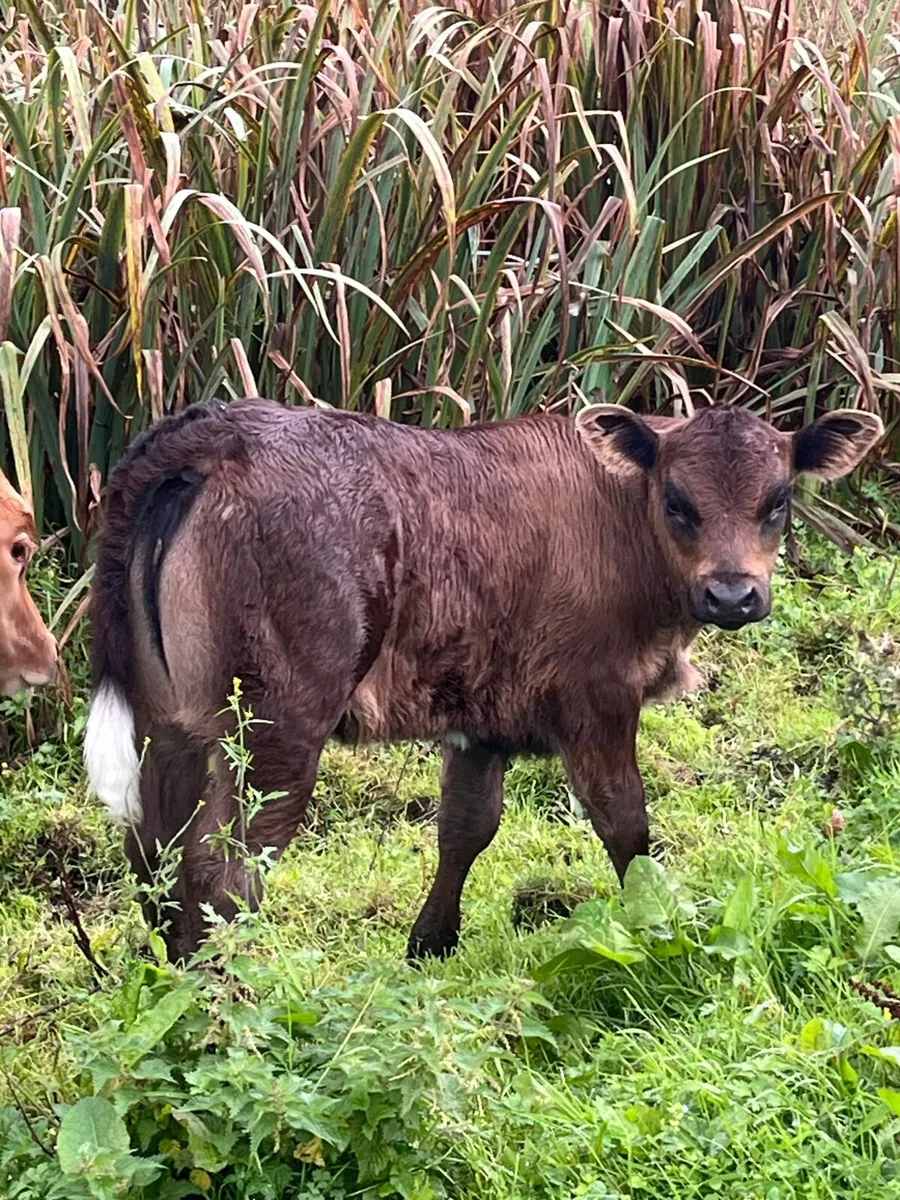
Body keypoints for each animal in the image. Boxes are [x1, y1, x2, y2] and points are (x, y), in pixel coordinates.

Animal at [83, 398, 882, 962]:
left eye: (778, 501)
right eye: (677, 502)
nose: (732, 595)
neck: (620, 521)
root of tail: (210, 431)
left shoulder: (482, 711)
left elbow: (466, 826)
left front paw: (429, 944)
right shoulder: (598, 692)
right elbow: (624, 820)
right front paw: (660, 926)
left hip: (167, 721)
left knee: (153, 856)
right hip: (275, 724)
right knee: (224, 869)